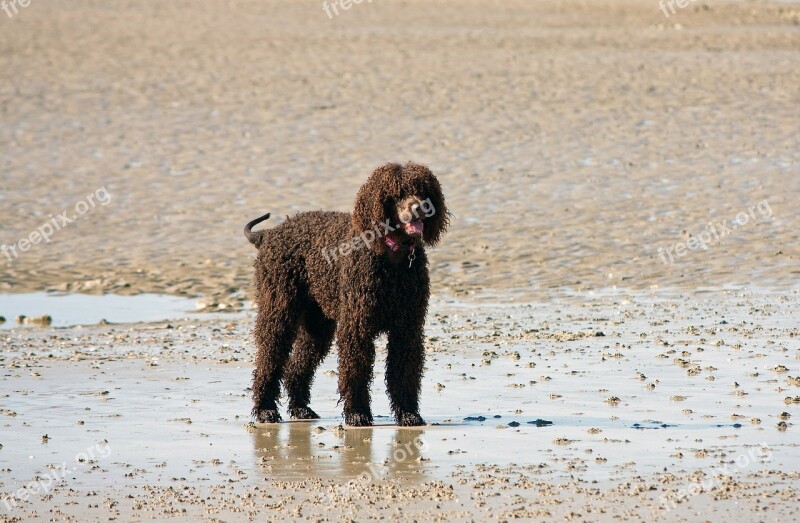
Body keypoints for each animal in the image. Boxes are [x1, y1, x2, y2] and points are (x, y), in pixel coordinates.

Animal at [242, 162, 450, 428]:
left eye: (423, 190)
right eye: (396, 194)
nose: (419, 207)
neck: (391, 257)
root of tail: (269, 234)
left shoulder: (407, 328)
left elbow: (404, 372)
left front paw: (408, 413)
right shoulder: (357, 327)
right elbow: (356, 370)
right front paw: (357, 413)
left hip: (317, 325)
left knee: (297, 365)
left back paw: (300, 408)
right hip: (278, 308)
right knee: (269, 358)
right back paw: (265, 410)